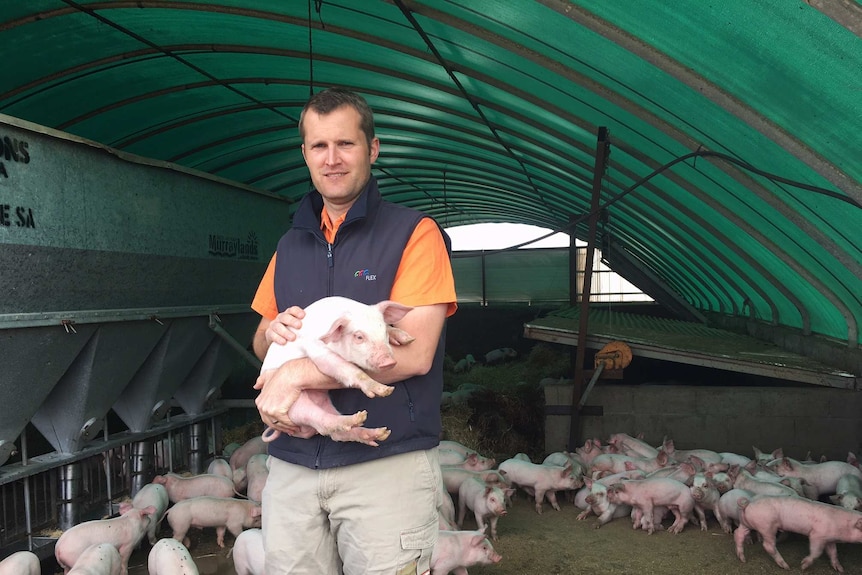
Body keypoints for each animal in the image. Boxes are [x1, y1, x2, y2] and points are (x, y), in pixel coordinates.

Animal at [258, 294, 414, 448]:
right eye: (359, 337)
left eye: (384, 332)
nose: (389, 361)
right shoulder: (316, 349)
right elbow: (344, 367)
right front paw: (386, 390)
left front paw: (408, 339)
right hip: (295, 406)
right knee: (322, 422)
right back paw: (359, 417)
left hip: (323, 403)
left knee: (337, 433)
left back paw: (380, 433)